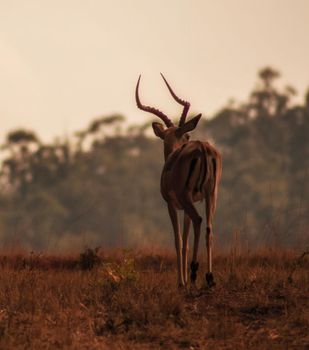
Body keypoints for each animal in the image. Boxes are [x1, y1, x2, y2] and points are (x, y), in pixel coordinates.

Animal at [134, 74, 219, 288]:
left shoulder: (171, 204)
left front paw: (181, 282)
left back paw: (196, 274)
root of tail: (202, 148)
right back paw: (209, 278)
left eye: (186, 135)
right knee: (208, 227)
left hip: (188, 198)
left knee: (199, 221)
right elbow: (186, 240)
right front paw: (185, 280)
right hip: (211, 195)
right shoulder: (187, 204)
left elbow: (178, 240)